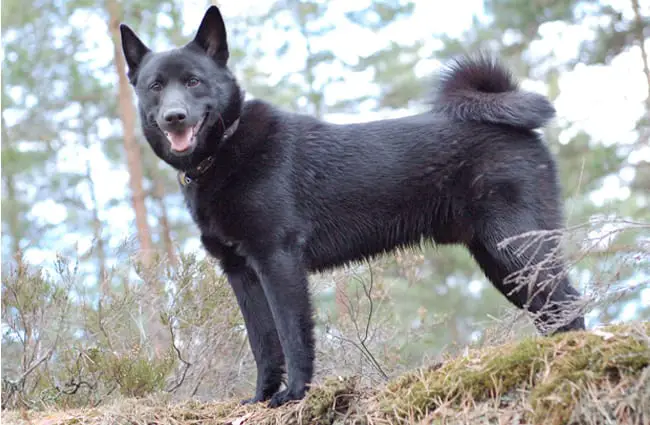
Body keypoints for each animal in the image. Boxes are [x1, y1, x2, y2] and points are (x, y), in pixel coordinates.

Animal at [119, 5, 584, 404]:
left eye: (194, 81)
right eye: (155, 86)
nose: (174, 117)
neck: (225, 149)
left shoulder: (278, 261)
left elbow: (292, 335)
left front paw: (294, 395)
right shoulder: (242, 273)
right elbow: (263, 344)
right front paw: (261, 398)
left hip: (517, 250)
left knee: (567, 303)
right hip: (503, 265)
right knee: (553, 312)